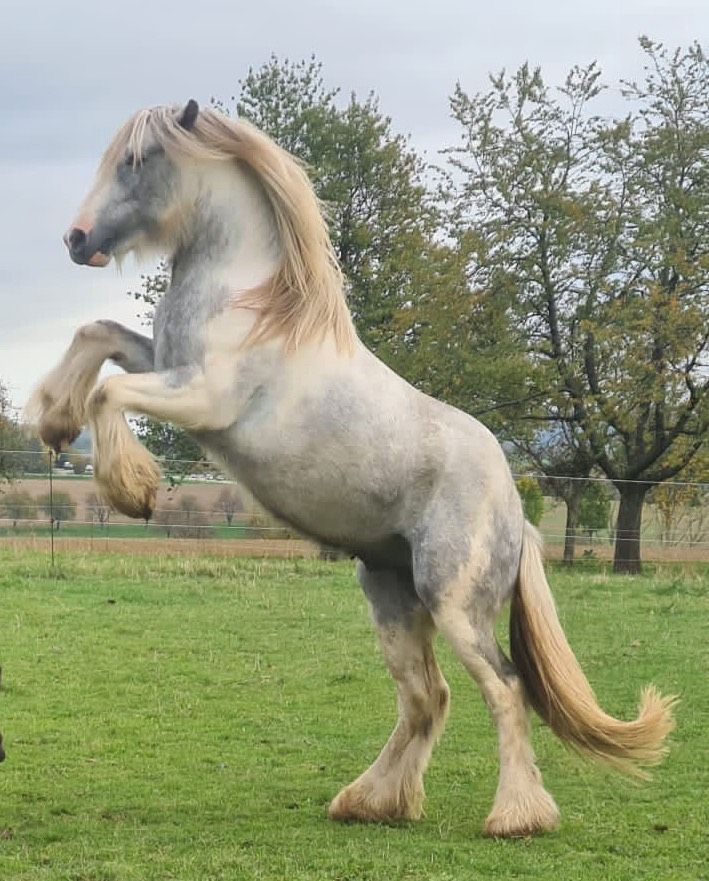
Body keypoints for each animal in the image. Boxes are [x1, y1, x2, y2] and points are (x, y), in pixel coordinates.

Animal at [30, 99, 676, 836]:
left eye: (137, 159)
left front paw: (131, 489)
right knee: (428, 697)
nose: (76, 238)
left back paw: (514, 817)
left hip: (455, 603)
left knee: (504, 687)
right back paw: (372, 803)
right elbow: (97, 335)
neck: (252, 301)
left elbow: (109, 391)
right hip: (391, 593)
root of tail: (518, 512)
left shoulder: (204, 397)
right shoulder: (163, 363)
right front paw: (53, 420)